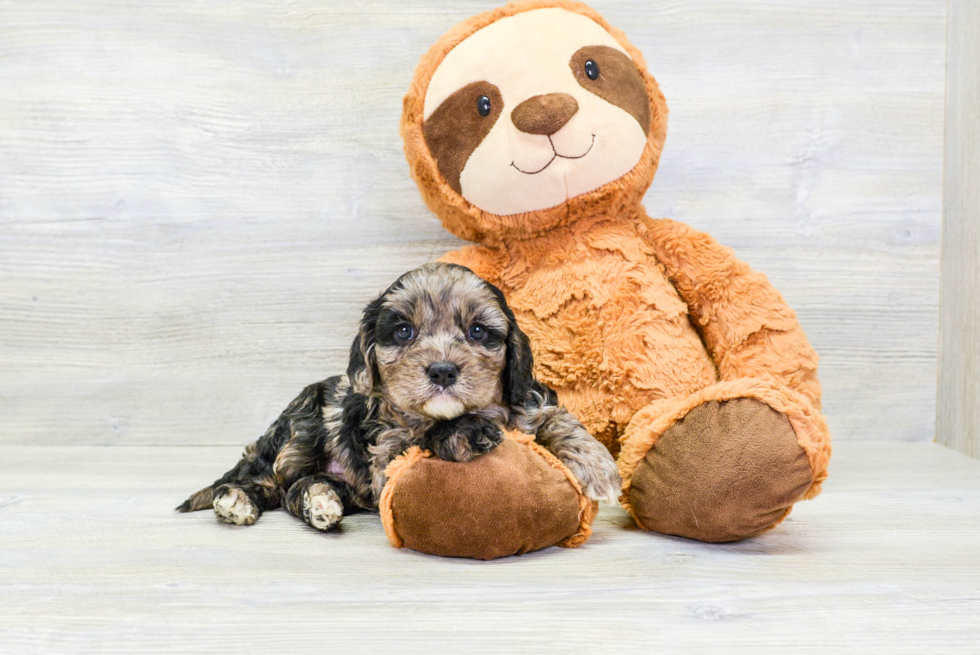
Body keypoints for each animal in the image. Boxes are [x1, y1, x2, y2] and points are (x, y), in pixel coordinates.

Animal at [177, 262, 620, 532]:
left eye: (478, 331)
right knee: (270, 481)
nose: (442, 371)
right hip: (300, 431)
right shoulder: (387, 446)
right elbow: (420, 434)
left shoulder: (528, 401)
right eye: (404, 331)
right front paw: (465, 430)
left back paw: (321, 501)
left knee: (296, 490)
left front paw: (598, 467)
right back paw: (238, 500)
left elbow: (558, 420)